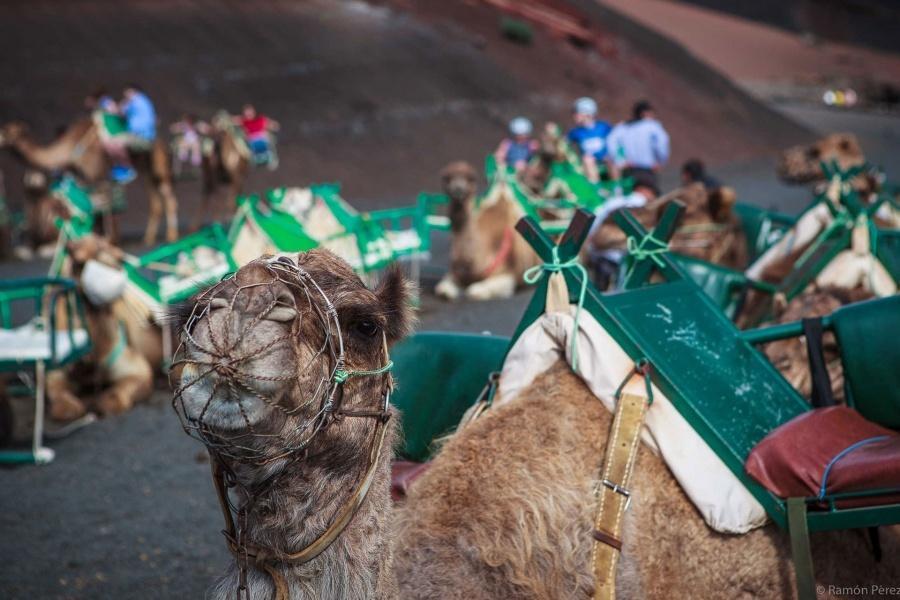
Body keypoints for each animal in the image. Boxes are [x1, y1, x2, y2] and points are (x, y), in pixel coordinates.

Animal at [0, 118, 178, 245]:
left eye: (8, 131)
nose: (1, 139)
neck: (69, 148)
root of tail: (163, 143)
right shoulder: (82, 177)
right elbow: (90, 203)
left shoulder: (96, 173)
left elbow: (104, 203)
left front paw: (110, 239)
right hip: (146, 171)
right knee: (155, 201)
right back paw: (148, 239)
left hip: (158, 164)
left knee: (168, 196)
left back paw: (172, 236)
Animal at [436, 161, 540, 300]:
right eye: (446, 178)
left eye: (471, 178)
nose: (458, 189)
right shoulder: (454, 272)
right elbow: (442, 289)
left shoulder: (508, 274)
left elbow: (475, 291)